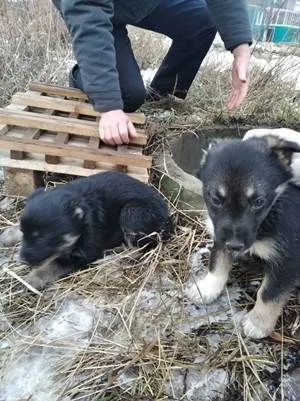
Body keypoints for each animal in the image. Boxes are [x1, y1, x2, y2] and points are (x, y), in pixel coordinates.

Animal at [19, 170, 173, 290]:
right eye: (23, 232)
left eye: (42, 238)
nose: (22, 260)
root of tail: (168, 220)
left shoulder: (82, 254)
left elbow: (53, 264)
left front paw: (33, 278)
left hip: (132, 213)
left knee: (136, 251)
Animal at [185, 134, 300, 338]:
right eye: (216, 199)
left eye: (259, 201)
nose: (235, 245)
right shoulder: (220, 237)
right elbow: (217, 263)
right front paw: (207, 288)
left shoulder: (288, 260)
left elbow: (269, 293)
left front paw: (258, 323)